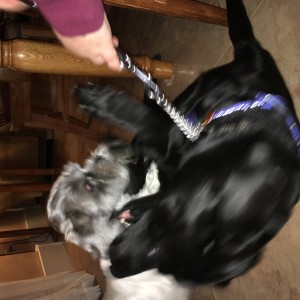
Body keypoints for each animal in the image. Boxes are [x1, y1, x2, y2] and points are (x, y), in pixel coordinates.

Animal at [75, 0, 300, 286]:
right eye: (155, 246)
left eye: (163, 266)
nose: (114, 269)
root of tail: (253, 51)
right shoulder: (176, 138)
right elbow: (151, 122)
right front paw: (103, 101)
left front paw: (138, 207)